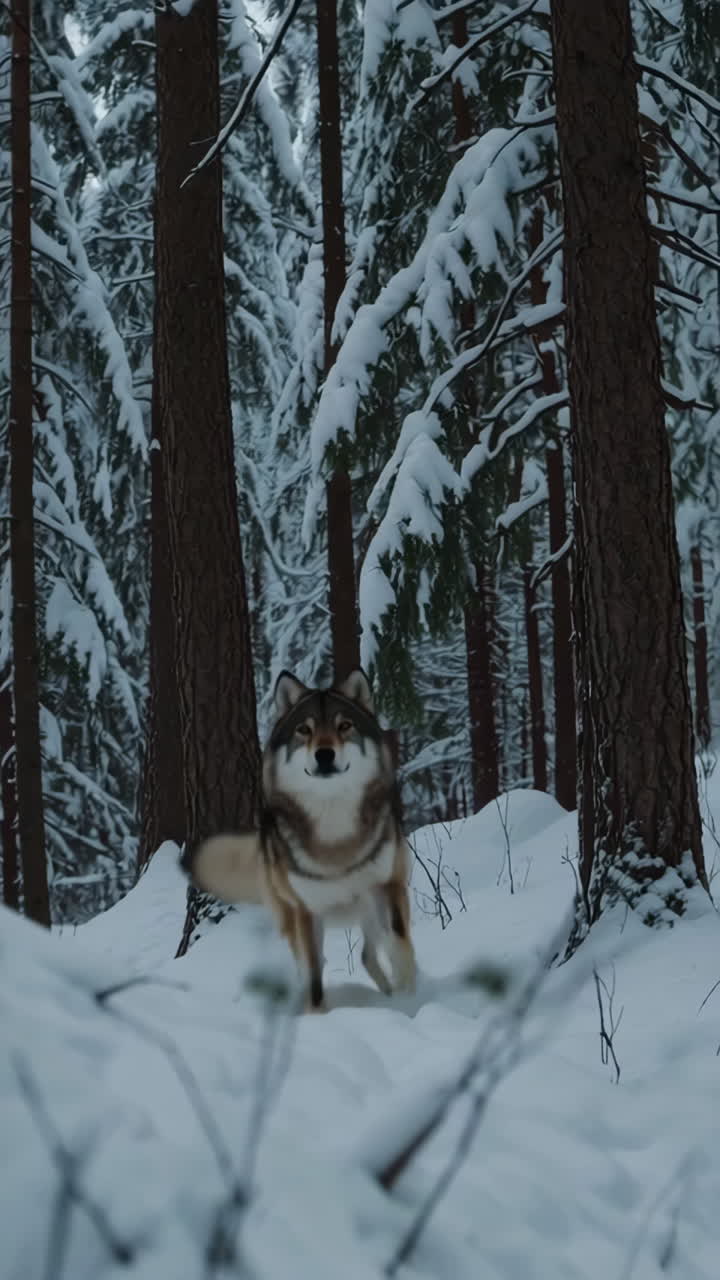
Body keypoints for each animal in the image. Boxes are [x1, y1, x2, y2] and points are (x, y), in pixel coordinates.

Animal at [183, 668, 416, 1011]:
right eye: (304, 730)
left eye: (344, 726)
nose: (324, 754)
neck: (334, 828)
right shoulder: (305, 911)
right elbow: (314, 976)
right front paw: (317, 1015)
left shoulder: (387, 887)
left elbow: (400, 947)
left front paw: (411, 999)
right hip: (293, 917)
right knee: (338, 960)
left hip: (369, 908)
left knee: (369, 953)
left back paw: (390, 995)